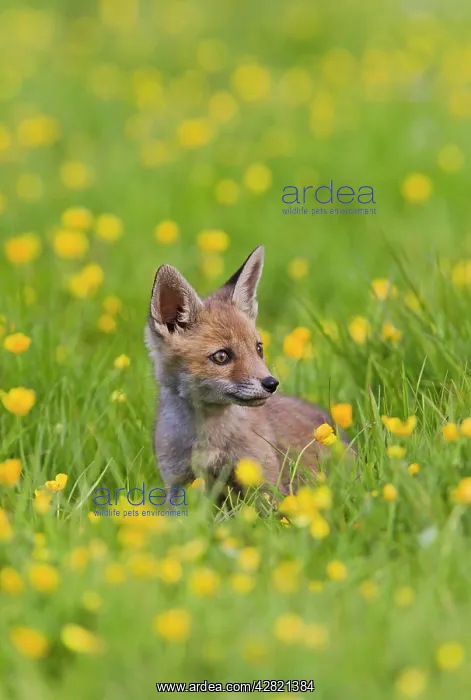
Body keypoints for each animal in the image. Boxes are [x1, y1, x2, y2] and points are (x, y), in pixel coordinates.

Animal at [145, 246, 346, 495]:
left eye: (258, 348)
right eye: (221, 356)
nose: (271, 383)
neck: (208, 439)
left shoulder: (264, 483)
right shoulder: (177, 483)